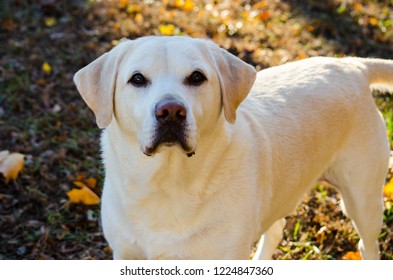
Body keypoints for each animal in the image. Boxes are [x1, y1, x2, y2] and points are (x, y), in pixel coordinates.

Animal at [74, 35, 392, 260]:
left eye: (197, 77)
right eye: (137, 79)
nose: (171, 112)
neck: (167, 182)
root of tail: (352, 66)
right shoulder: (125, 253)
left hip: (363, 200)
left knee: (369, 247)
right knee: (275, 230)